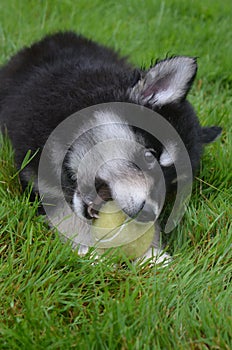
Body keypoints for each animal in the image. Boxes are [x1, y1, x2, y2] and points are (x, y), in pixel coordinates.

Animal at [0, 32, 222, 262]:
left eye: (172, 185)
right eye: (150, 156)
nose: (149, 214)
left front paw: (152, 255)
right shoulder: (37, 181)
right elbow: (67, 215)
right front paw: (89, 253)